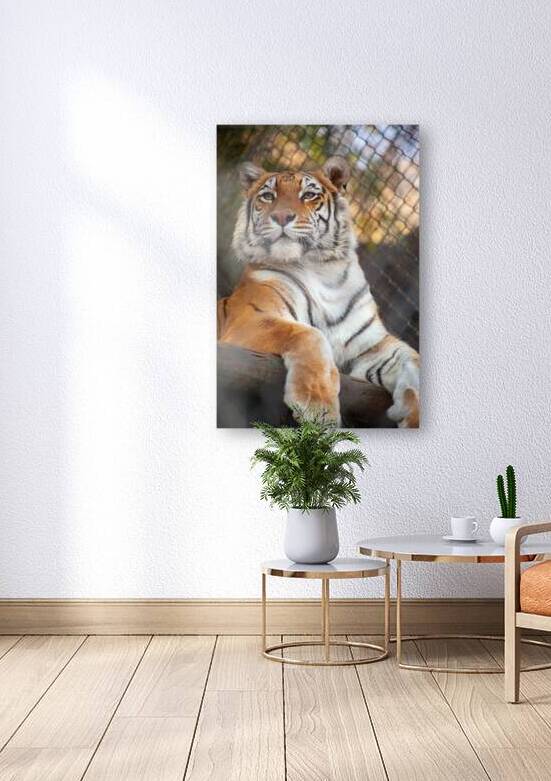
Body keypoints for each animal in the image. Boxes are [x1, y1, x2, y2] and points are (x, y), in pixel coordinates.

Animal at [217, 155, 419, 428]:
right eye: (268, 196)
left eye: (309, 195)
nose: (281, 216)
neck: (323, 272)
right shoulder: (248, 320)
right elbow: (309, 334)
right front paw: (317, 407)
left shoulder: (372, 344)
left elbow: (414, 361)